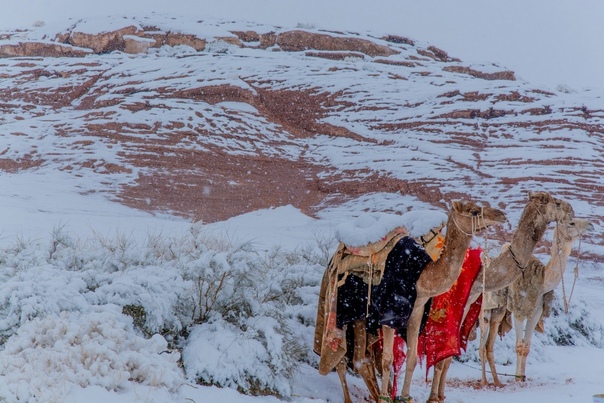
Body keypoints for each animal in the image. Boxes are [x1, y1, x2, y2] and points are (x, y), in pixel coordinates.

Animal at [380, 200, 508, 402]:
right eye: (473, 211)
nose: (500, 214)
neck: (422, 277)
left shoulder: (417, 311)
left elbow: (412, 358)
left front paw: (405, 397)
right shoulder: (389, 311)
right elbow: (387, 358)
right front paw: (383, 397)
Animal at [424, 192, 576, 403]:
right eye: (555, 202)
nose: (571, 210)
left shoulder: (468, 306)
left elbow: (449, 355)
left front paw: (440, 395)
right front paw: (433, 397)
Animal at [478, 215, 592, 386]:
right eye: (571, 222)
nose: (590, 225)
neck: (542, 280)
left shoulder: (536, 312)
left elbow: (526, 347)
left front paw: (522, 377)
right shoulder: (518, 310)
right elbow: (519, 346)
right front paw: (518, 379)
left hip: (498, 310)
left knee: (488, 344)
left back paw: (496, 381)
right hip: (485, 307)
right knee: (481, 343)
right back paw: (484, 381)